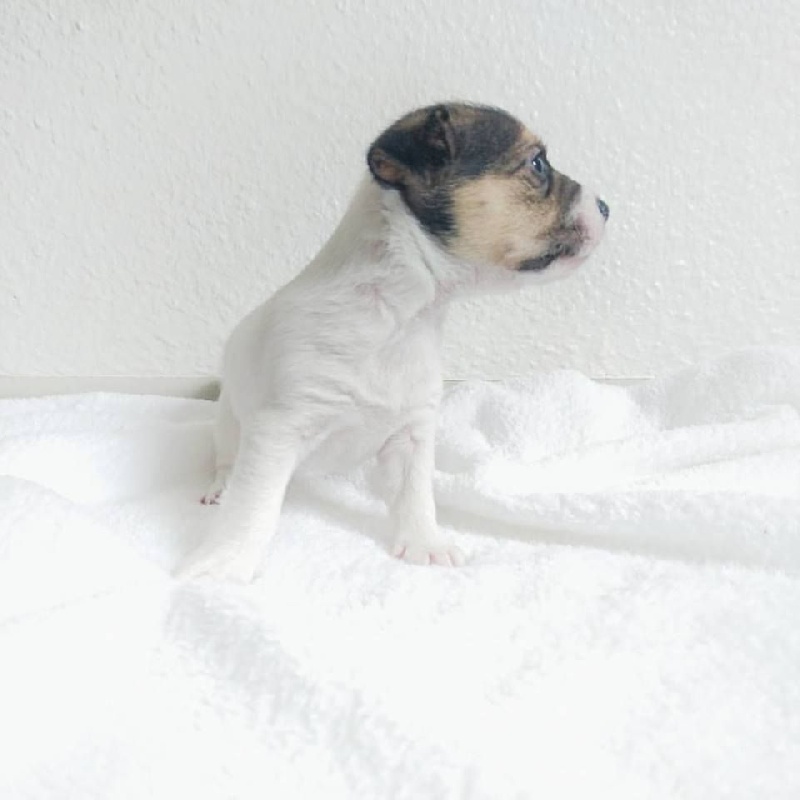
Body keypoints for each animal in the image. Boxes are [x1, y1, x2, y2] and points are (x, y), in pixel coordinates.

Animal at [179, 102, 609, 582]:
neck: (399, 319)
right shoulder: (278, 432)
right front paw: (227, 562)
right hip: (229, 426)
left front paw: (425, 543)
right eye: (537, 164)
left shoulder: (413, 433)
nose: (607, 207)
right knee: (227, 462)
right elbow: (254, 506)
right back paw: (220, 486)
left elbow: (414, 495)